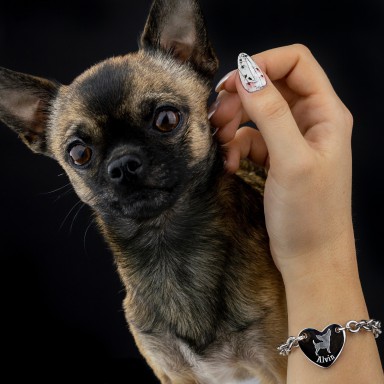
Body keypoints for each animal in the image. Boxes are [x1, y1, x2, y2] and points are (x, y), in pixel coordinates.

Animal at [0, 0, 288, 380]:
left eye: (166, 120)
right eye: (79, 153)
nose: (123, 164)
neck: (166, 245)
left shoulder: (276, 363)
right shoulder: (174, 373)